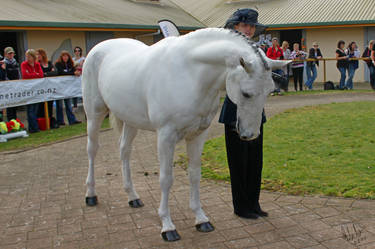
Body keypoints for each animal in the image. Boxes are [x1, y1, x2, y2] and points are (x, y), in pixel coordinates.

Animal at [81, 27, 290, 241]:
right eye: (246, 93)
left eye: (270, 91)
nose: (250, 135)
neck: (189, 73)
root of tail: (98, 49)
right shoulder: (165, 136)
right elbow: (166, 179)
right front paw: (167, 226)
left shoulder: (198, 135)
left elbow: (194, 175)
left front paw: (201, 219)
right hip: (94, 114)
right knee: (92, 150)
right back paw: (91, 195)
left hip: (130, 120)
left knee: (124, 151)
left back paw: (133, 197)